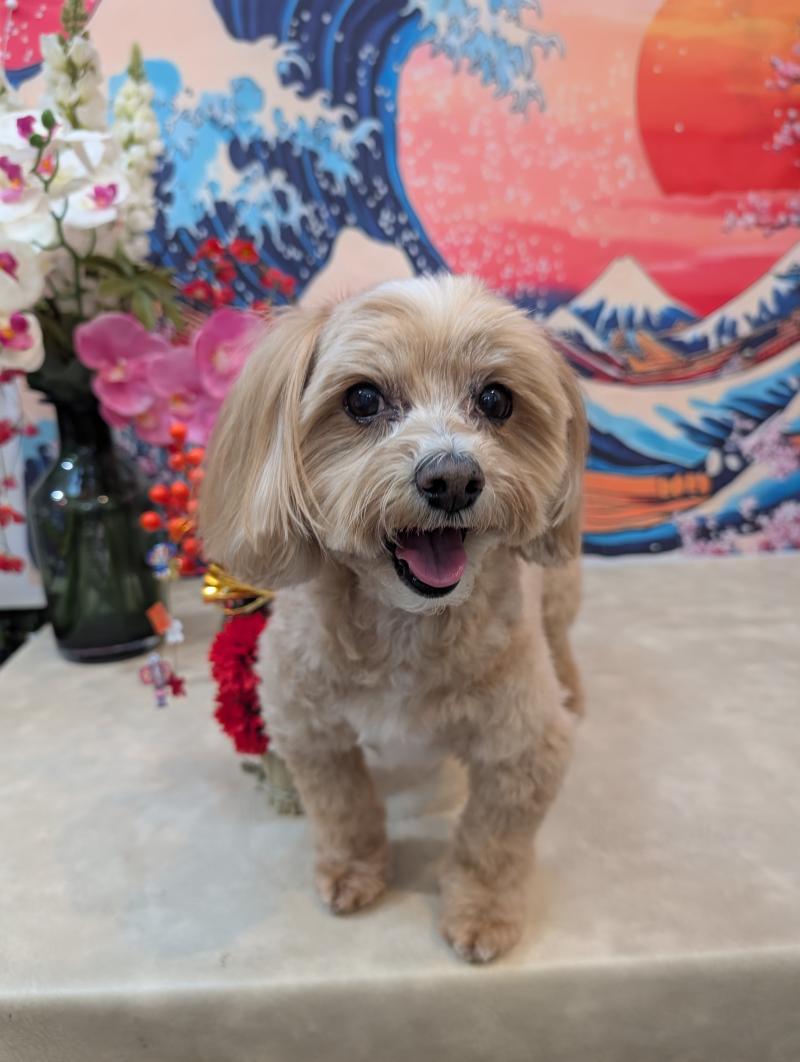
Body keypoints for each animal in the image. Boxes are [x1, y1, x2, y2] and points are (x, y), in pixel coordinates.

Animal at [200, 274, 588, 963]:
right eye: (362, 398)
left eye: (496, 398)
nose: (453, 478)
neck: (408, 626)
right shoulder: (308, 727)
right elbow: (343, 808)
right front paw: (352, 870)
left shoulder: (523, 749)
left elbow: (491, 842)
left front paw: (482, 912)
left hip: (560, 585)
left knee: (561, 637)